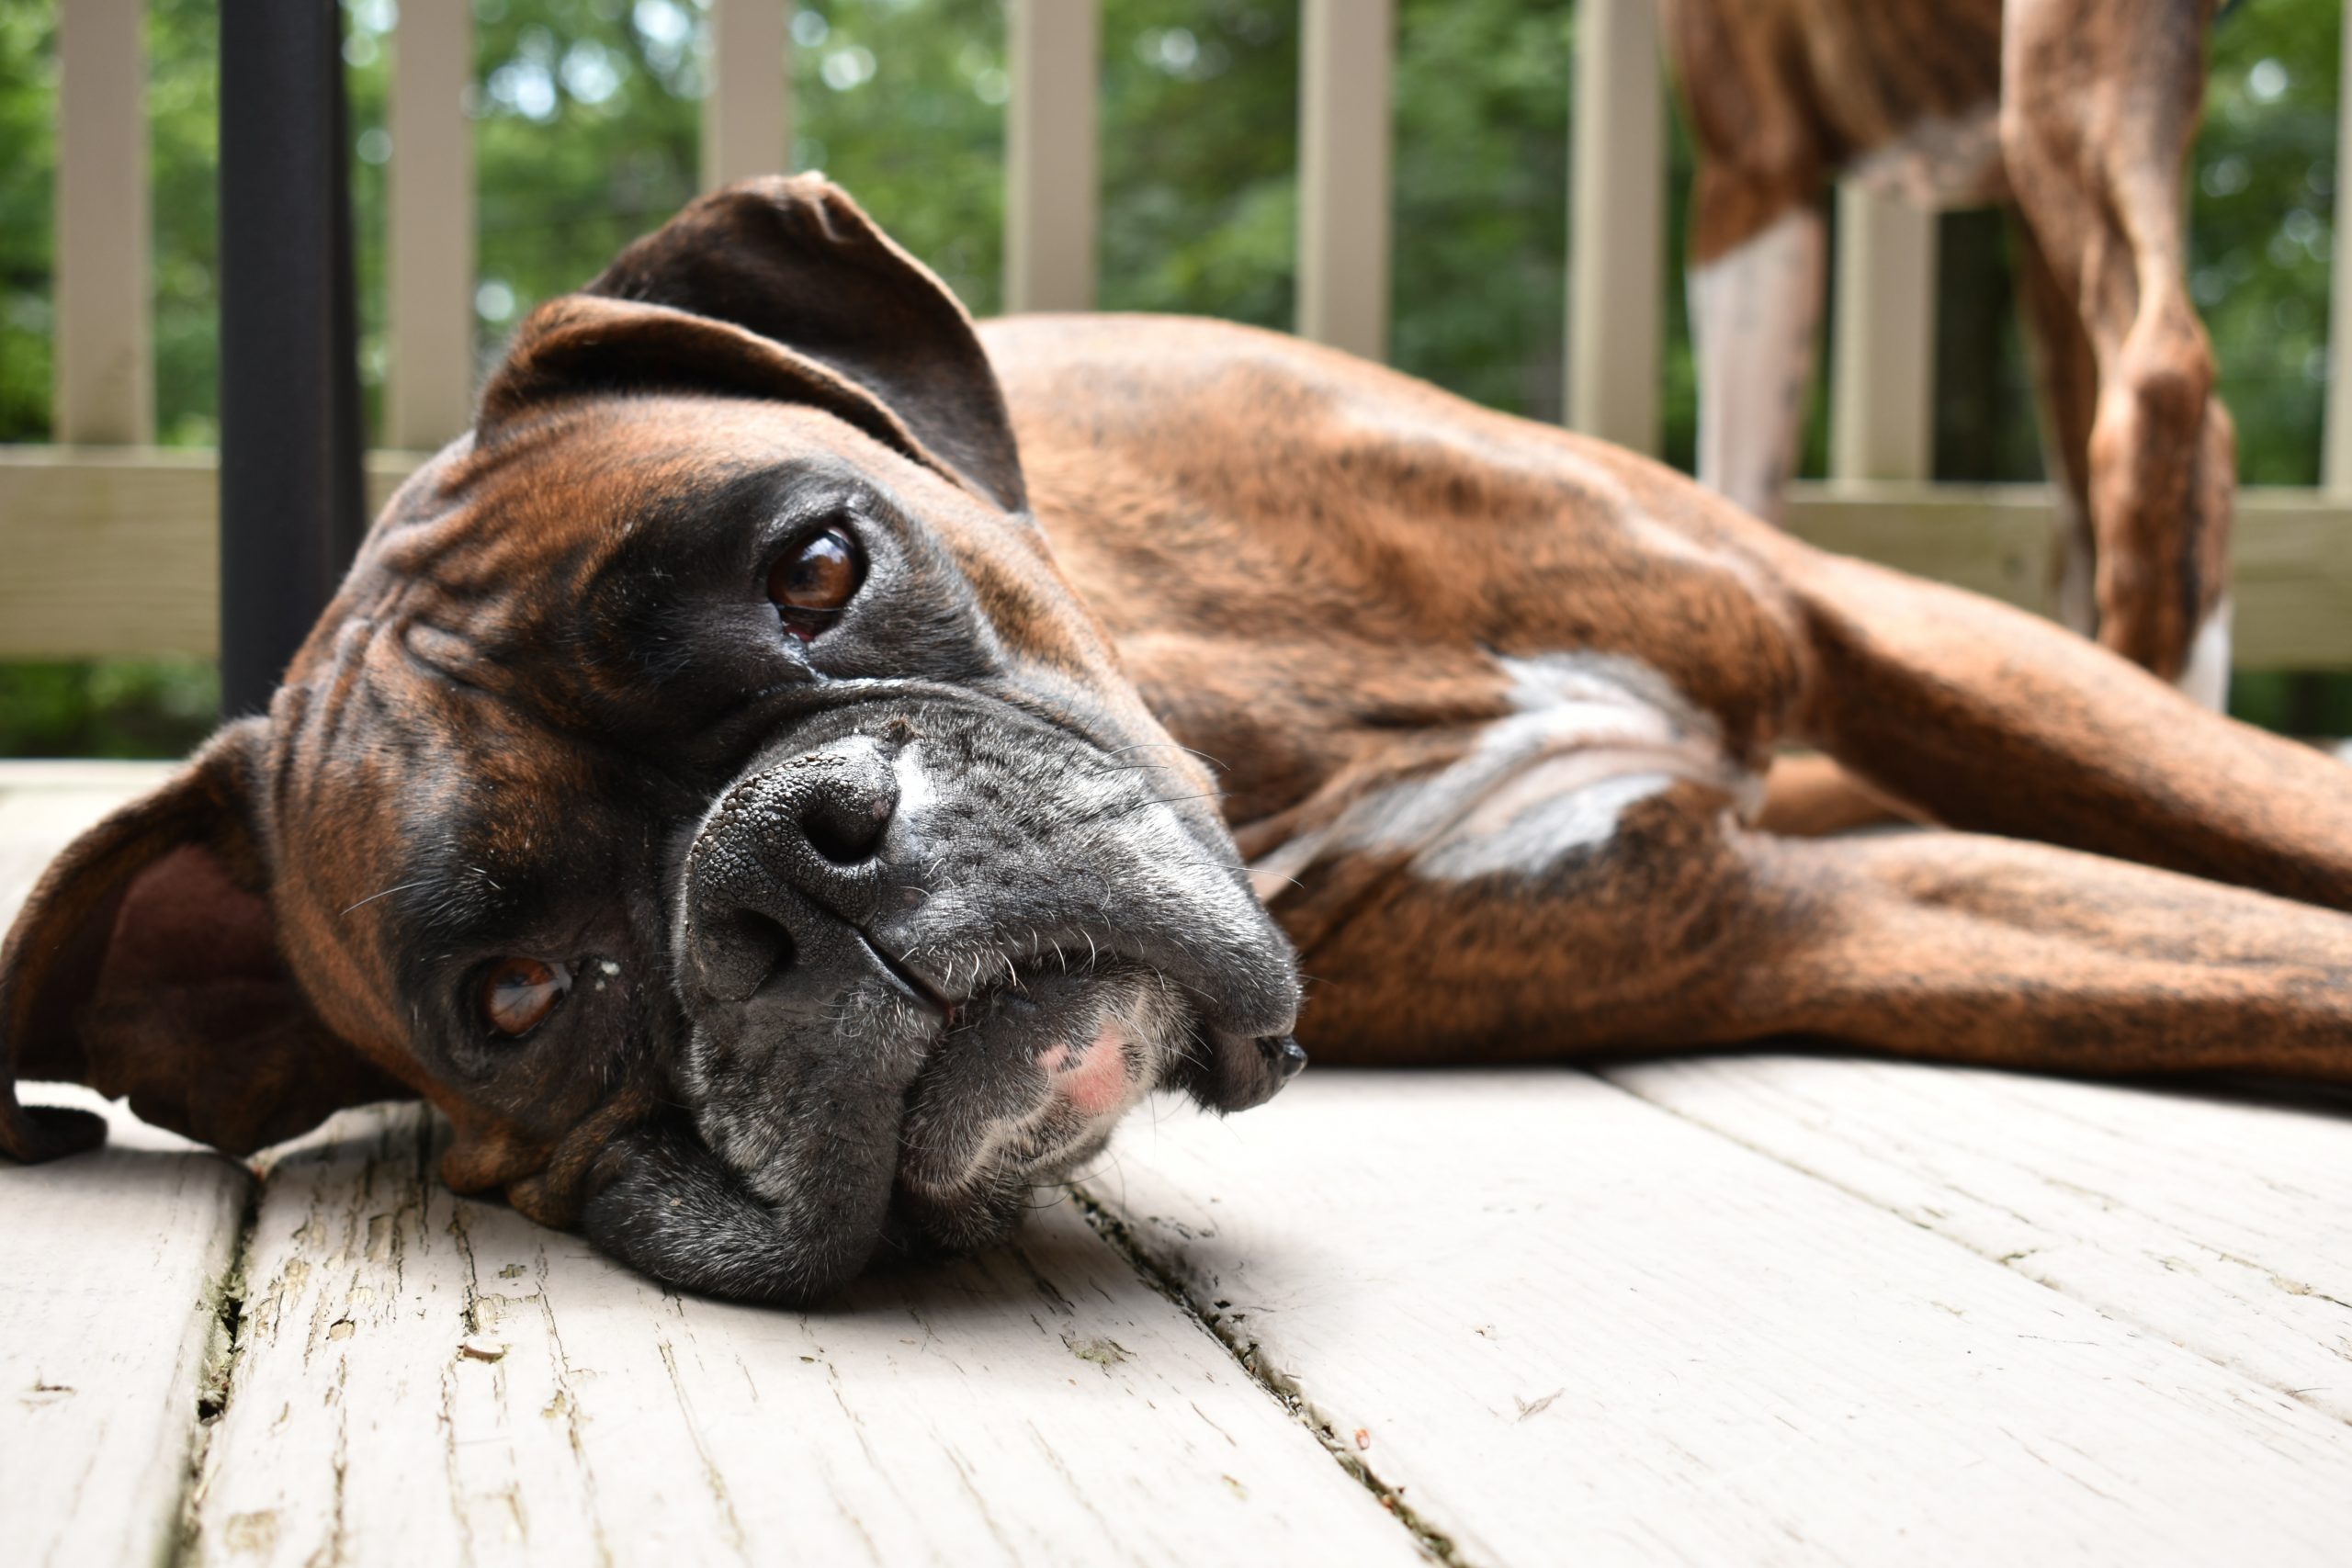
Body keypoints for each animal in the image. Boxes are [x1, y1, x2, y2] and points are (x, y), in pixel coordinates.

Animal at [5, 177, 2352, 1306]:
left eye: (816, 564)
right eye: (509, 995)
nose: (793, 862)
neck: (1243, 696)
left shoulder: (1865, 624)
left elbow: (2268, 823)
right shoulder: (1808, 916)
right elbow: (2261, 960)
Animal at [1665, 0, 2229, 705]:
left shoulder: (1756, 159)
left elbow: (1737, 490)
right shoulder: (2029, 238)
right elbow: (2079, 530)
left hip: (2070, 84)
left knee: (2164, 378)